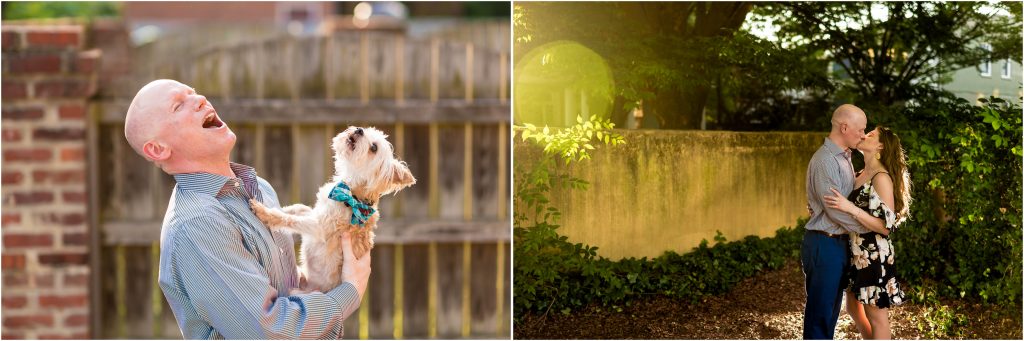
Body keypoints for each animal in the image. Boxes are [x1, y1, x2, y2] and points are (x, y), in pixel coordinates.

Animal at [251, 125, 415, 290]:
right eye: (366, 129)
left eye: (374, 148)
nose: (359, 130)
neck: (350, 194)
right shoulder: (318, 211)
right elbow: (298, 207)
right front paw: (277, 207)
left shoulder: (320, 227)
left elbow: (291, 219)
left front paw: (264, 212)